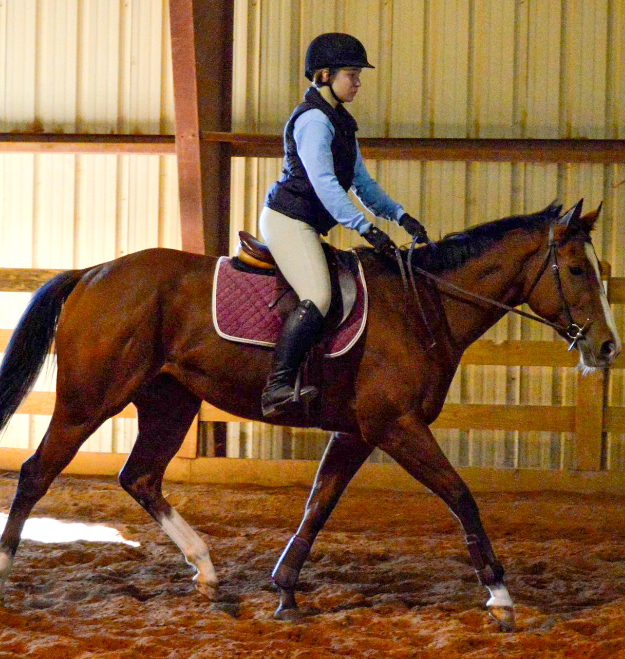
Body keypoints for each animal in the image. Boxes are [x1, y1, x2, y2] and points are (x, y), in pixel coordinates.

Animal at [0, 199, 616, 632]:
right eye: (577, 270)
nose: (607, 348)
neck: (424, 306)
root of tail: (93, 272)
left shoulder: (357, 432)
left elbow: (319, 504)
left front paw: (287, 591)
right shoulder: (397, 427)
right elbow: (460, 495)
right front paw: (501, 598)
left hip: (170, 402)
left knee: (141, 477)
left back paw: (207, 571)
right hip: (86, 402)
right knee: (36, 473)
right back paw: (7, 567)